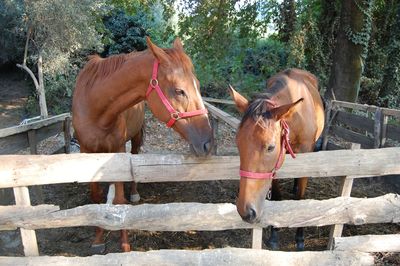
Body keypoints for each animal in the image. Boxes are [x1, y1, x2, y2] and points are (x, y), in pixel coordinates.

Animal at [73, 37, 214, 251]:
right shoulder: (86, 152)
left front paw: (124, 246)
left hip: (135, 139)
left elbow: (119, 199)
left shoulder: (118, 150)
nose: (208, 143)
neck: (95, 107)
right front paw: (98, 239)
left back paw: (134, 193)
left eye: (197, 85)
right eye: (179, 91)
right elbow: (95, 198)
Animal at [228, 68, 324, 249]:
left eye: (270, 147)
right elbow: (277, 196)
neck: (297, 118)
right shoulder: (276, 166)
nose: (246, 211)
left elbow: (301, 198)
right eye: (237, 143)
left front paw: (300, 237)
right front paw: (274, 235)